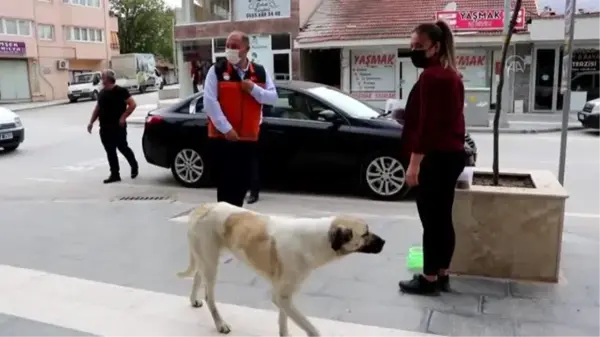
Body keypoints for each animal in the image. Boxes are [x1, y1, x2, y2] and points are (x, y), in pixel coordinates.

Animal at [176, 202, 386, 336]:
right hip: (211, 262)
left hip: (207, 258)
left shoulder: (284, 296)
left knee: (197, 276)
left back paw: (193, 300)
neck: (318, 240)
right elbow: (310, 328)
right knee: (209, 295)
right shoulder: (281, 297)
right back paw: (220, 324)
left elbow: (283, 321)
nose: (385, 242)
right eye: (365, 233)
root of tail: (203, 207)